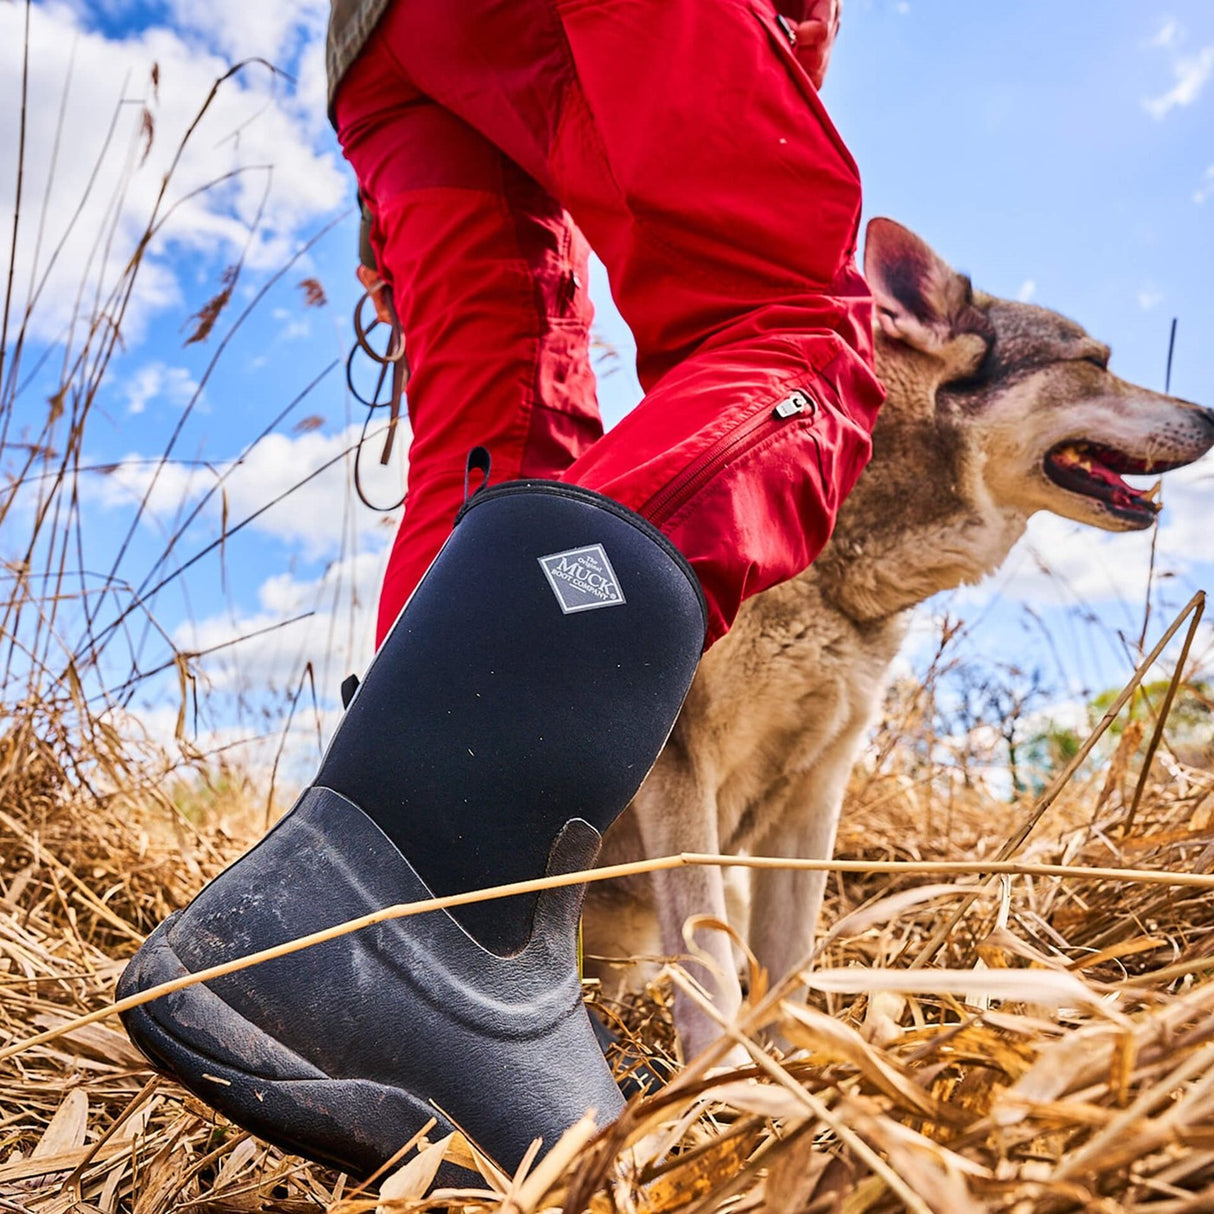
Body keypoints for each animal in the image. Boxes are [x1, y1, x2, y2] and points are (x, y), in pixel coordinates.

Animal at [580, 220, 1214, 1063]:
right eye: (1095, 363)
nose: (1213, 414)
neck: (836, 576)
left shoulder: (815, 787)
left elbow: (787, 959)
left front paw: (792, 1063)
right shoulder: (683, 772)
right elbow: (709, 958)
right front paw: (723, 1074)